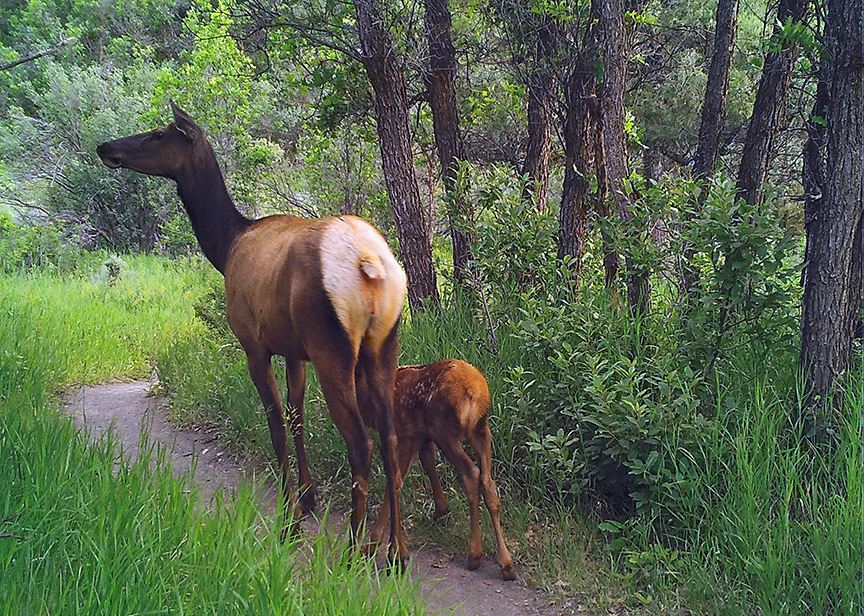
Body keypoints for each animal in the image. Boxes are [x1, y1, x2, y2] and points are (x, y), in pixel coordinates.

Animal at [97, 102, 409, 566]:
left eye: (158, 134)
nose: (106, 146)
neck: (225, 247)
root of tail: (369, 265)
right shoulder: (294, 350)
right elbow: (297, 417)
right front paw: (309, 497)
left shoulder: (254, 344)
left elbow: (276, 424)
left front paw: (290, 519)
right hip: (383, 345)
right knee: (389, 438)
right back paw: (396, 550)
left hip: (332, 347)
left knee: (361, 443)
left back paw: (354, 549)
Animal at [359, 359, 516, 580]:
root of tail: (472, 393)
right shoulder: (423, 437)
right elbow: (428, 462)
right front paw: (441, 509)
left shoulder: (406, 435)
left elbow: (395, 481)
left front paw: (373, 544)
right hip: (481, 430)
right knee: (488, 482)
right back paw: (506, 564)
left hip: (445, 430)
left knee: (471, 474)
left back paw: (475, 555)